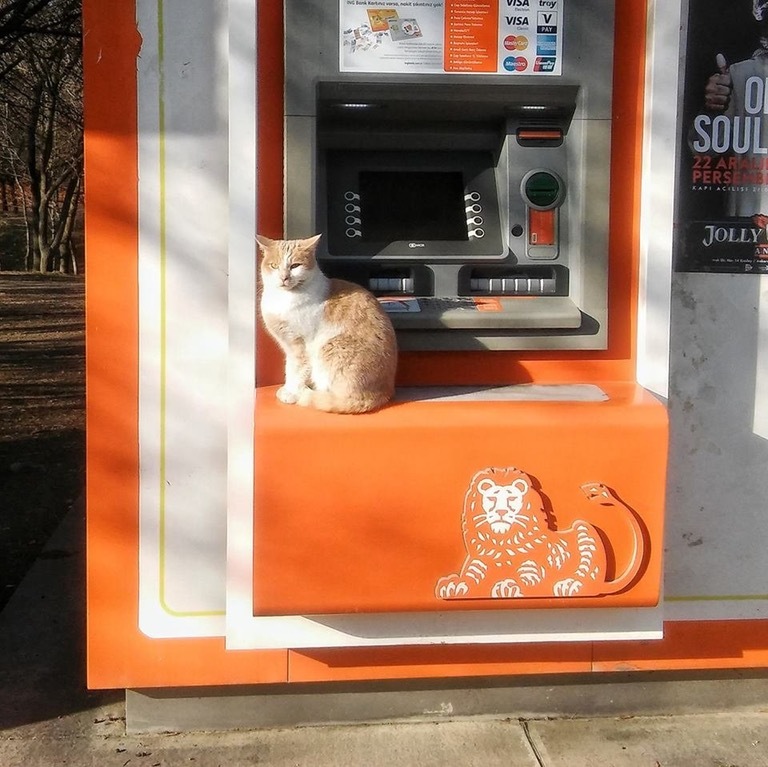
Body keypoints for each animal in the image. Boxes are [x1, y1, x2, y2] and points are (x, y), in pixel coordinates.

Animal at [258, 234, 400, 414]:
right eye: (274, 266)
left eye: (295, 266)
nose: (284, 278)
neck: (285, 298)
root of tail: (382, 393)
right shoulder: (288, 346)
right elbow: (289, 368)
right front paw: (288, 389)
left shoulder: (300, 347)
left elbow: (296, 371)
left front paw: (292, 393)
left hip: (330, 348)